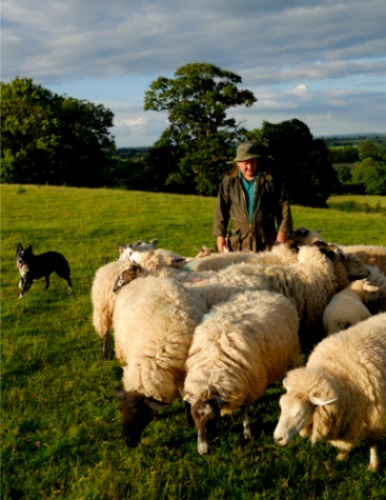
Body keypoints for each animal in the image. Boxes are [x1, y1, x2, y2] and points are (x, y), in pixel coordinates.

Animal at [112, 276, 208, 448]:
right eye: (120, 410)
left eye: (141, 416)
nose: (129, 443)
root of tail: (148, 278)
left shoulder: (185, 374)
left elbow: (186, 400)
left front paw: (190, 422)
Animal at [182, 290, 300, 458]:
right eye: (194, 418)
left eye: (212, 419)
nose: (203, 451)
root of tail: (267, 292)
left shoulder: (247, 383)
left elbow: (244, 408)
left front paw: (247, 432)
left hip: (291, 353)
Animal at [272, 312, 386, 472]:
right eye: (281, 407)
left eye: (300, 412)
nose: (277, 438)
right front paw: (342, 455)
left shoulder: (375, 416)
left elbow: (372, 441)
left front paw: (374, 464)